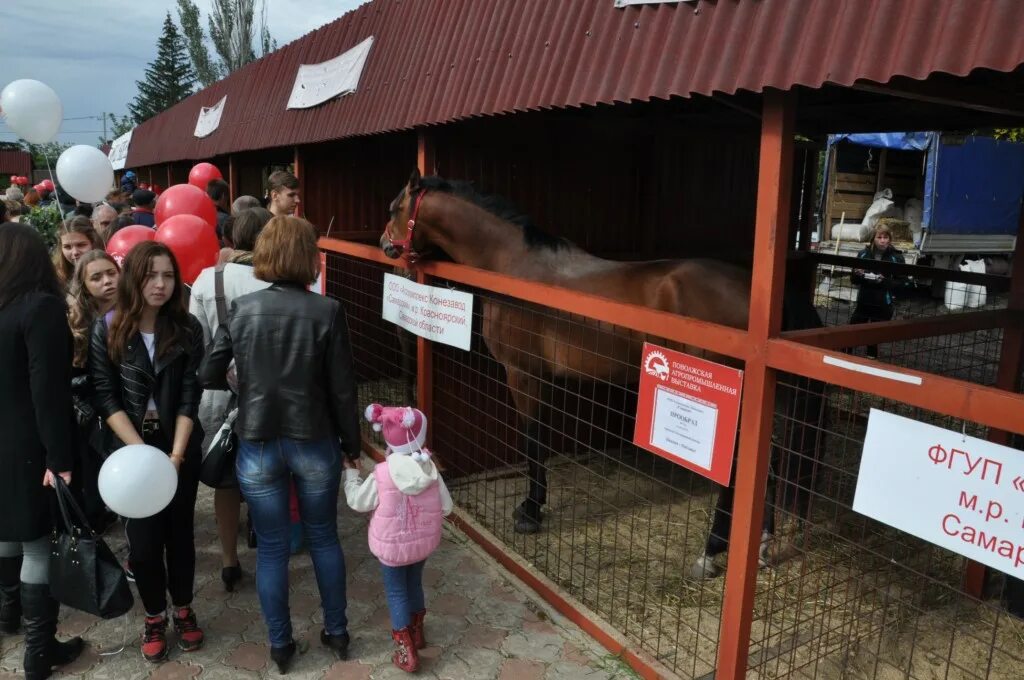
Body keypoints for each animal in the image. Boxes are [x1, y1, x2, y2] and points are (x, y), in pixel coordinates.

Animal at [382, 170, 823, 569]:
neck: (516, 270)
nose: (385, 244)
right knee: (770, 463)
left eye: (394, 208)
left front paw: (530, 511)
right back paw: (762, 544)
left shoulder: (524, 375)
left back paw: (712, 551)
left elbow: (533, 439)